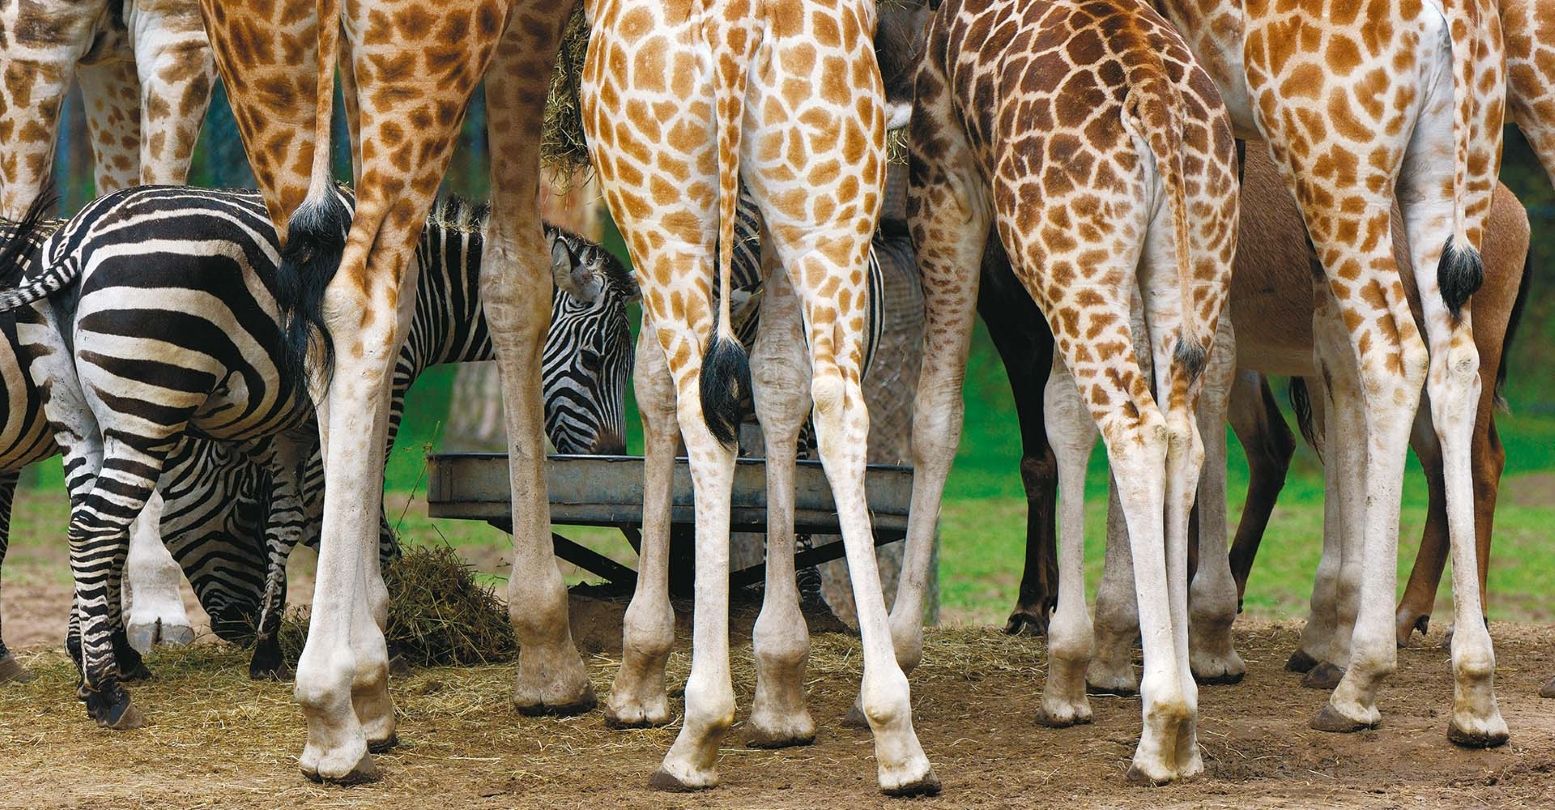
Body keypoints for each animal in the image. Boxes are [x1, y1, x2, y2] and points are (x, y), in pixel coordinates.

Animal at [0, 185, 637, 715]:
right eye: (596, 359)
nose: (611, 457)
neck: (427, 286)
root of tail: (77, 239)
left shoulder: (292, 424)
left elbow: (293, 516)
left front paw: (272, 647)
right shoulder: (387, 385)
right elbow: (358, 502)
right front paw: (383, 615)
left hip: (77, 415)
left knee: (85, 521)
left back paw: (105, 664)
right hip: (149, 400)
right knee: (97, 526)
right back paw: (106, 692)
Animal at [194, 0, 584, 783]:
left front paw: (371, 656)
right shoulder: (530, 21)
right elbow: (517, 277)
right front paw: (548, 654)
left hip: (268, 57)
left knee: (321, 303)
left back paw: (352, 691)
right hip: (423, 51)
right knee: (356, 298)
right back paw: (326, 713)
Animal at [578, 0, 926, 792]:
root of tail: (737, 25)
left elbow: (653, 385)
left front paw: (638, 679)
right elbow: (777, 379)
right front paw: (782, 695)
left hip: (663, 208)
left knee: (701, 416)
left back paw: (695, 734)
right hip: (827, 208)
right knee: (839, 404)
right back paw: (898, 737)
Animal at [908, 0, 1231, 783]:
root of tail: (1156, 103)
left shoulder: (944, 176)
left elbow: (936, 415)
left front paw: (900, 649)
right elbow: (1060, 419)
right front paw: (1065, 674)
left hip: (1070, 260)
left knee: (1137, 432)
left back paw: (1163, 728)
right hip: (1183, 261)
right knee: (1181, 437)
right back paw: (1184, 720)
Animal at [1138, 0, 1511, 746]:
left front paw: (1201, 638)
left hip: (1336, 167)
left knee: (1393, 360)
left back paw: (1360, 678)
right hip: (1446, 178)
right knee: (1449, 370)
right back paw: (1471, 688)